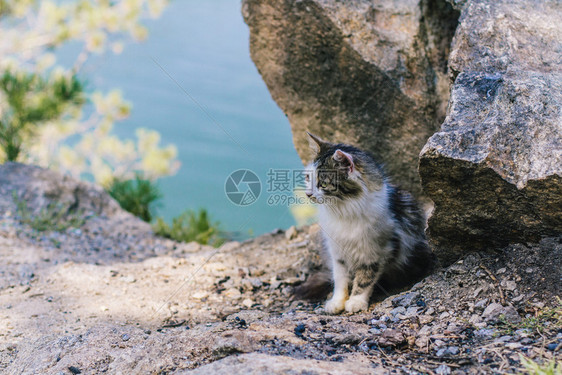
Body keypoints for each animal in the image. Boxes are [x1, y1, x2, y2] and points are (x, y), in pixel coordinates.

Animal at [298, 132, 434, 314]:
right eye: (308, 177)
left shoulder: (376, 251)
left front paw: (356, 302)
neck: (343, 211)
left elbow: (365, 280)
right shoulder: (337, 252)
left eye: (324, 183)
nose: (308, 194)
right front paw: (337, 302)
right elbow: (340, 279)